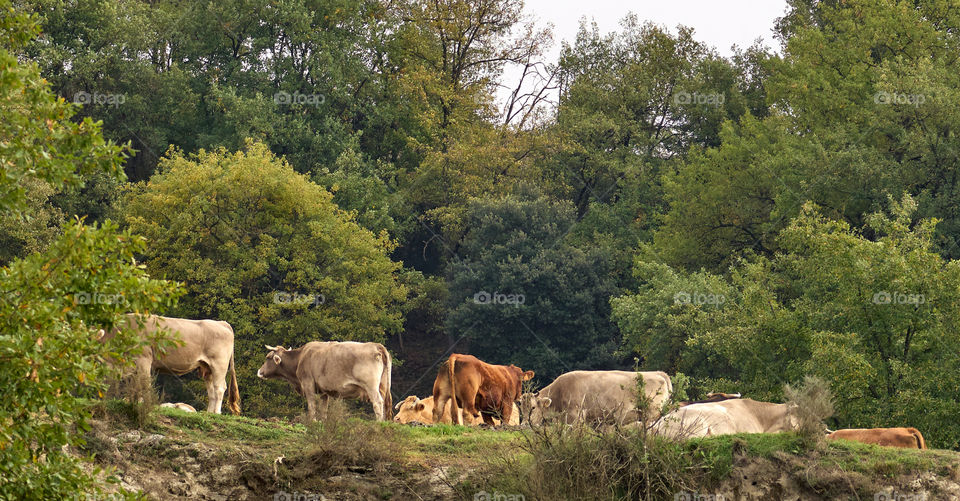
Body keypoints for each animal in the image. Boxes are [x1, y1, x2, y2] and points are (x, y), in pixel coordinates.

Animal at [101, 312, 240, 414]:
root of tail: (221, 323)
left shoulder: (144, 359)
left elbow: (144, 383)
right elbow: (136, 384)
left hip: (219, 364)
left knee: (219, 388)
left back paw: (216, 412)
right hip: (207, 368)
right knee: (211, 390)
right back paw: (209, 413)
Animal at [256, 340, 392, 422]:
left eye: (268, 357)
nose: (259, 371)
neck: (300, 358)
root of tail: (376, 345)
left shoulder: (308, 383)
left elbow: (312, 405)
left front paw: (313, 421)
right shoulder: (324, 390)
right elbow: (324, 408)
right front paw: (323, 421)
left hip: (371, 386)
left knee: (377, 402)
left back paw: (378, 422)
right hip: (383, 386)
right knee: (386, 403)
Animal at [520, 368, 672, 426]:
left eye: (533, 407)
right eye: (522, 409)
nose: (525, 424)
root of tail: (658, 373)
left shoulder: (576, 417)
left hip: (652, 414)